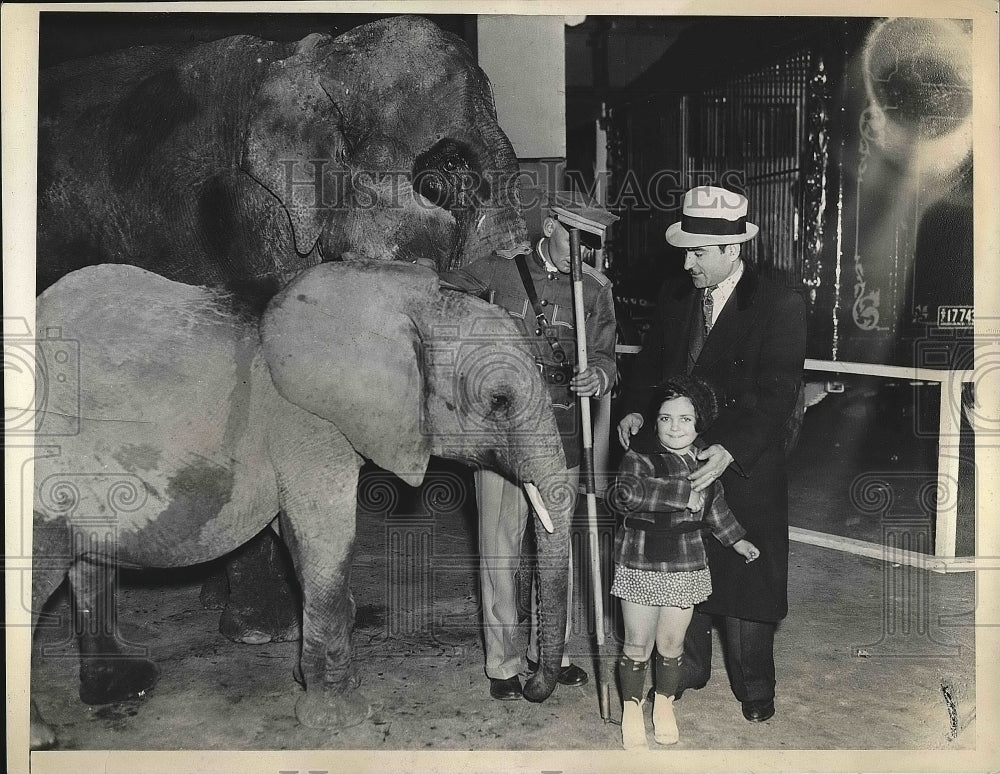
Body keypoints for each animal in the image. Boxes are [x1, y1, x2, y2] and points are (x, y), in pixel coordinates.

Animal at [31, 262, 576, 752]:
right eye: (500, 401)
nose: (530, 687)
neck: (399, 298)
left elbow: (293, 537)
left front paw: (320, 681)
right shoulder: (307, 423)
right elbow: (326, 541)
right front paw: (341, 716)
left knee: (90, 564)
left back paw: (124, 687)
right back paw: (42, 736)